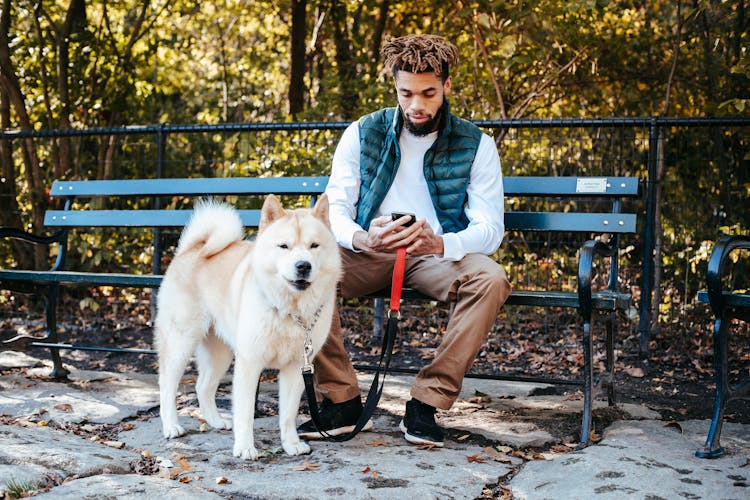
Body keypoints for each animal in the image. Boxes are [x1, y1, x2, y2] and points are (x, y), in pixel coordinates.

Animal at [156, 193, 344, 458]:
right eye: (284, 246)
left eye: (314, 246)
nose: (303, 266)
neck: (288, 310)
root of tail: (194, 248)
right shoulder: (250, 363)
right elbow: (245, 413)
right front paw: (245, 447)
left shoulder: (297, 367)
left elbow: (288, 414)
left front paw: (291, 444)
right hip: (181, 343)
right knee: (167, 385)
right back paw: (171, 426)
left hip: (221, 354)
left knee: (203, 387)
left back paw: (215, 421)